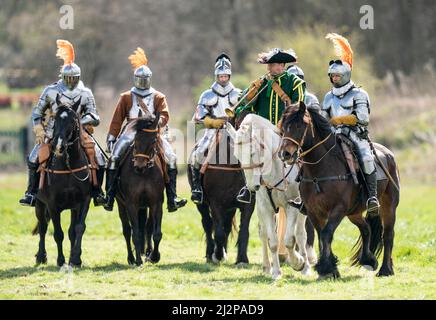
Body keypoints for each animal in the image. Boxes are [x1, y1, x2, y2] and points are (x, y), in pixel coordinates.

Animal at [33, 98, 93, 268]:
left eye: (72, 120)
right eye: (55, 118)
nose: (58, 145)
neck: (68, 166)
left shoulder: (83, 201)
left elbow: (78, 228)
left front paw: (75, 258)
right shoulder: (52, 205)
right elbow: (58, 233)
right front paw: (61, 260)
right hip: (39, 204)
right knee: (43, 227)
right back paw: (41, 256)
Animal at [114, 114, 165, 266]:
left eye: (153, 140)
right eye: (135, 139)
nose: (139, 167)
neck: (145, 174)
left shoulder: (156, 203)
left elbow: (156, 233)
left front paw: (154, 256)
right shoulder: (131, 204)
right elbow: (135, 233)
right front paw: (138, 260)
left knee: (147, 227)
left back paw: (147, 253)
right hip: (121, 204)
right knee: (126, 230)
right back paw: (131, 258)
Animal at [225, 115, 316, 280]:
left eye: (252, 153)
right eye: (237, 156)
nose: (252, 186)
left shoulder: (292, 207)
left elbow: (289, 240)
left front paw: (298, 263)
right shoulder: (265, 208)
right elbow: (272, 241)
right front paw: (276, 272)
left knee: (300, 234)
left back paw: (305, 267)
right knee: (263, 234)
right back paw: (267, 267)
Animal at [280, 102, 398, 278]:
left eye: (299, 125)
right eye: (283, 126)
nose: (285, 154)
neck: (320, 172)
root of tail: (388, 154)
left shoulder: (338, 210)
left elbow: (326, 234)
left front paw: (327, 267)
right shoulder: (314, 212)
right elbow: (321, 236)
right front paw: (328, 268)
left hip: (388, 206)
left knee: (388, 235)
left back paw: (385, 270)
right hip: (354, 213)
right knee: (366, 229)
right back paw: (368, 260)